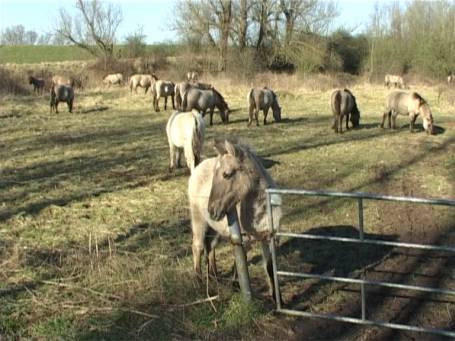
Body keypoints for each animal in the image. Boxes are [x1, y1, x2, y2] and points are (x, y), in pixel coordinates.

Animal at [188, 138, 282, 298]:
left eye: (226, 174)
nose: (212, 210)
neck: (261, 213)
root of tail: (197, 168)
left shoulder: (268, 238)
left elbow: (269, 267)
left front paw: (277, 298)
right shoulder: (242, 239)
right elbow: (240, 263)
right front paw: (237, 286)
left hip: (214, 228)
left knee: (210, 246)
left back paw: (213, 276)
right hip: (199, 220)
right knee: (198, 247)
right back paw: (199, 281)